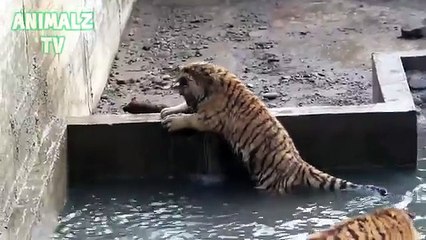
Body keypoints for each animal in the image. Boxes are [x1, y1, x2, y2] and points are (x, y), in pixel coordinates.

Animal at [158, 60, 388, 197]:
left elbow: (191, 118)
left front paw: (173, 121)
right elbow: (184, 107)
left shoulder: (209, 118)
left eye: (189, 69)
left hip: (269, 183)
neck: (210, 88)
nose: (179, 67)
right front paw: (166, 110)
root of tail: (300, 165)